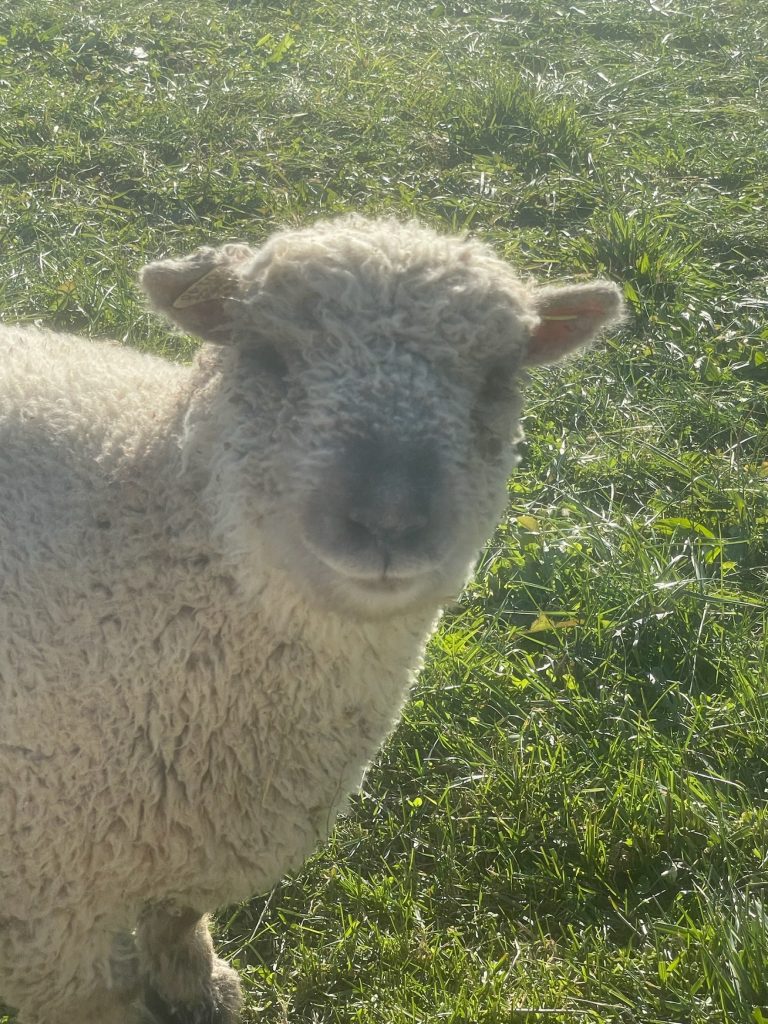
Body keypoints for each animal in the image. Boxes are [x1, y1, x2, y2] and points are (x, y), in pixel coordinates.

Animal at [0, 216, 626, 1024]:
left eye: (497, 378)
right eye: (268, 356)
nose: (389, 520)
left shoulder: (190, 848)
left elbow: (177, 920)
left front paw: (203, 989)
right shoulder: (46, 914)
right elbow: (105, 998)